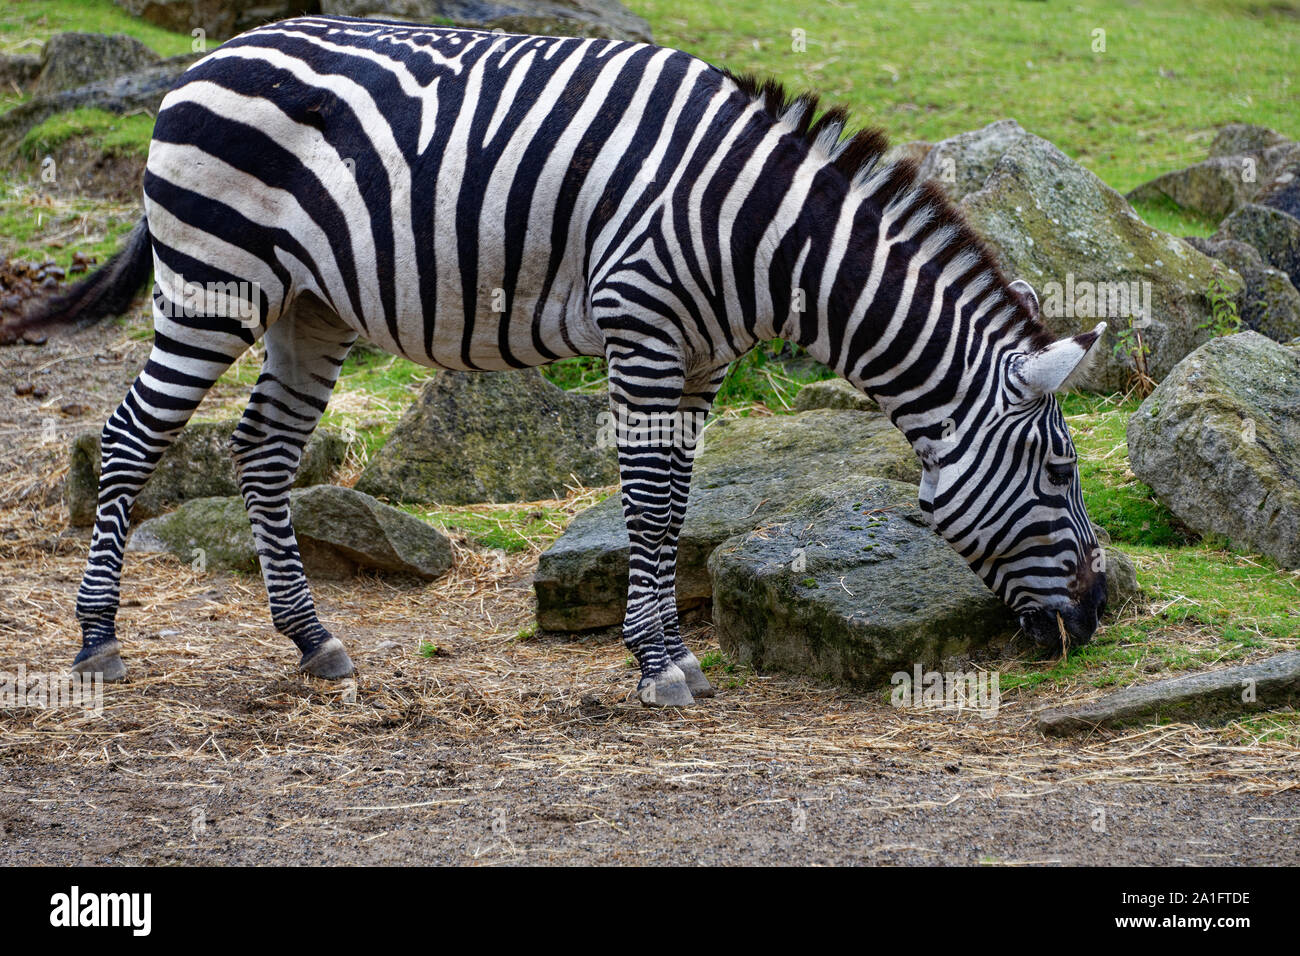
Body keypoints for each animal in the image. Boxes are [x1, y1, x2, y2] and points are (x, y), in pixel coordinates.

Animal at [8, 16, 1108, 707]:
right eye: (1060, 470)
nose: (1096, 616)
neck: (763, 234)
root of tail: (210, 58)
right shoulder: (642, 324)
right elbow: (651, 502)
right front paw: (658, 663)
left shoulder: (703, 358)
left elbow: (676, 502)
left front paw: (672, 653)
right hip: (212, 280)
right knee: (129, 436)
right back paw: (97, 640)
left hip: (309, 306)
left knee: (263, 453)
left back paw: (314, 641)